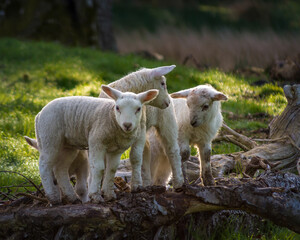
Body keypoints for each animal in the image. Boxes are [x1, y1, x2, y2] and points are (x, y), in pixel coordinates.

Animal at [29, 85, 158, 203]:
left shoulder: (117, 149)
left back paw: (71, 197)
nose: (127, 125)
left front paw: (109, 194)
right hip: (49, 136)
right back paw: (53, 197)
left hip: (67, 146)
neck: (112, 120)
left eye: (138, 109)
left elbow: (112, 169)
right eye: (117, 108)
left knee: (60, 168)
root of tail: (39, 114)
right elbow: (99, 168)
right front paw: (95, 195)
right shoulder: (96, 141)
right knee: (44, 165)